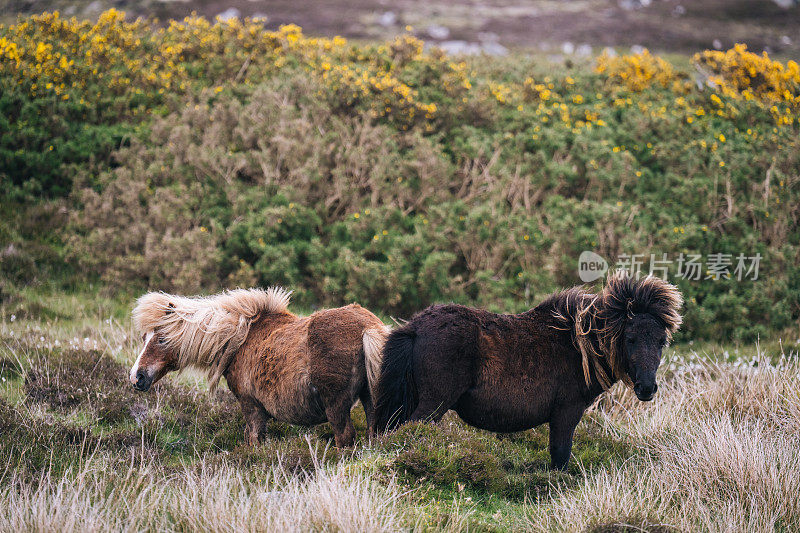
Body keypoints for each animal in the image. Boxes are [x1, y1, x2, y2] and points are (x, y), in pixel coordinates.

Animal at [130, 286, 390, 444]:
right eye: (144, 337)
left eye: (162, 338)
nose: (136, 377)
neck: (238, 337)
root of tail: (368, 327)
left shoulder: (252, 407)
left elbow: (254, 439)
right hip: (371, 398)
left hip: (336, 406)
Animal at [376, 272, 680, 468]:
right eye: (630, 338)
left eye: (661, 341)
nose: (647, 388)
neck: (580, 346)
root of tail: (416, 326)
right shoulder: (567, 412)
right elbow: (560, 455)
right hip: (433, 403)